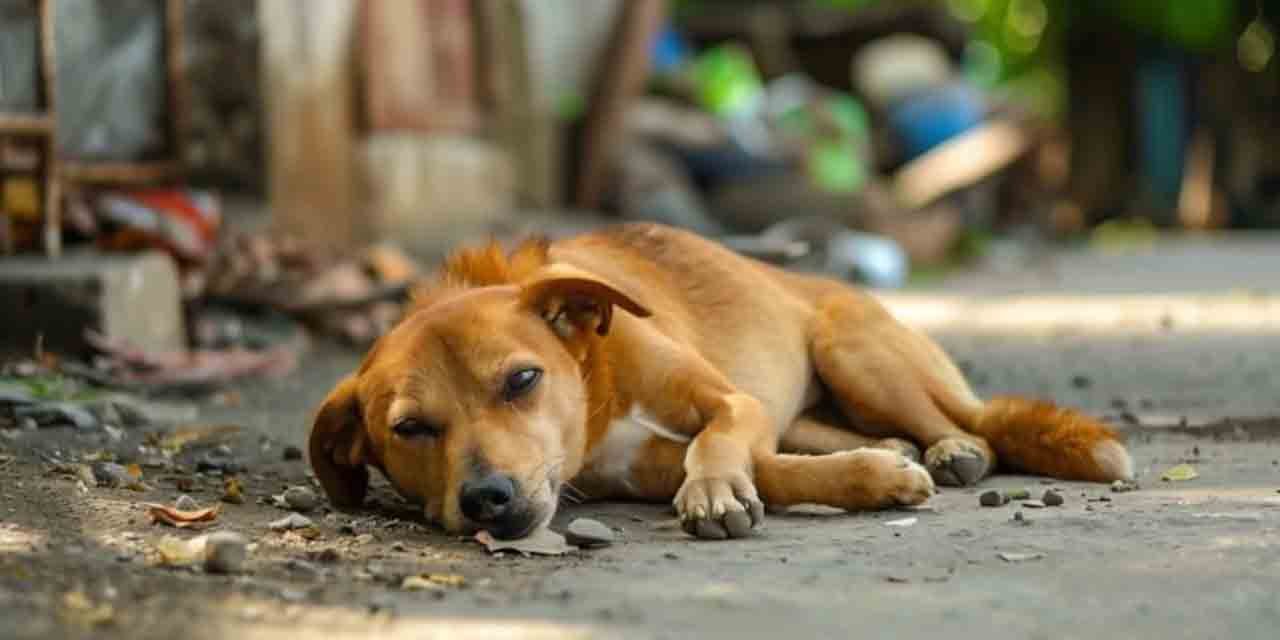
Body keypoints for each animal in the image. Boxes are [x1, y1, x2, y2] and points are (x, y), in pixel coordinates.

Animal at [309, 222, 1131, 537]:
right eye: (409, 429)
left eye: (521, 380)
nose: (488, 499)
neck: (597, 386)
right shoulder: (639, 468)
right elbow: (775, 470)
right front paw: (872, 476)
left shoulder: (733, 402)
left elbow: (719, 443)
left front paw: (712, 491)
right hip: (818, 404)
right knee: (842, 433)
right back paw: (899, 450)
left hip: (856, 353)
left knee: (968, 424)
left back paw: (953, 449)